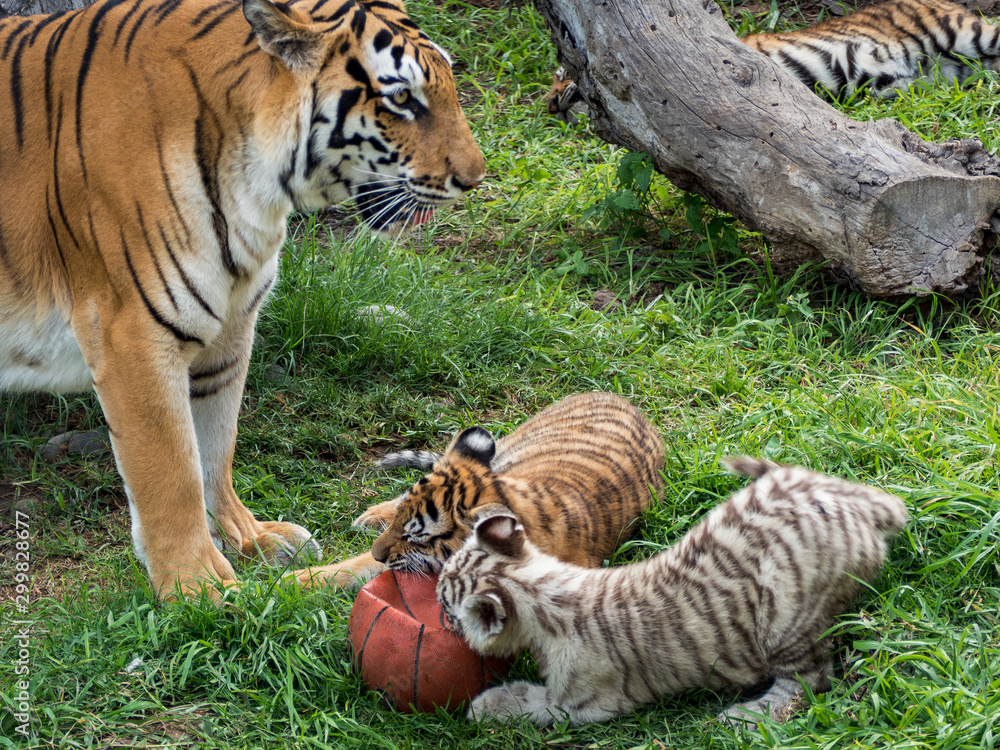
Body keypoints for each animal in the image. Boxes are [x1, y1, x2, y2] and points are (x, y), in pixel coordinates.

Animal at [0, 0, 485, 600]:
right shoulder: (131, 335)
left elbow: (214, 447)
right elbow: (170, 471)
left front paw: (250, 540)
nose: (475, 178)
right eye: (401, 100)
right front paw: (196, 587)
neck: (254, 191)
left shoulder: (229, 326)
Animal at [291, 391, 666, 588]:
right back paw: (370, 516)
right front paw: (290, 583)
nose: (377, 553)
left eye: (416, 536)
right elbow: (349, 567)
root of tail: (617, 396)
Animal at [438, 457, 908, 726]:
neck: (544, 588)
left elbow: (532, 702)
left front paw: (486, 706)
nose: (441, 617)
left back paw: (742, 718)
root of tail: (857, 509)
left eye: (445, 605)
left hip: (786, 619)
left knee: (807, 684)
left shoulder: (586, 704)